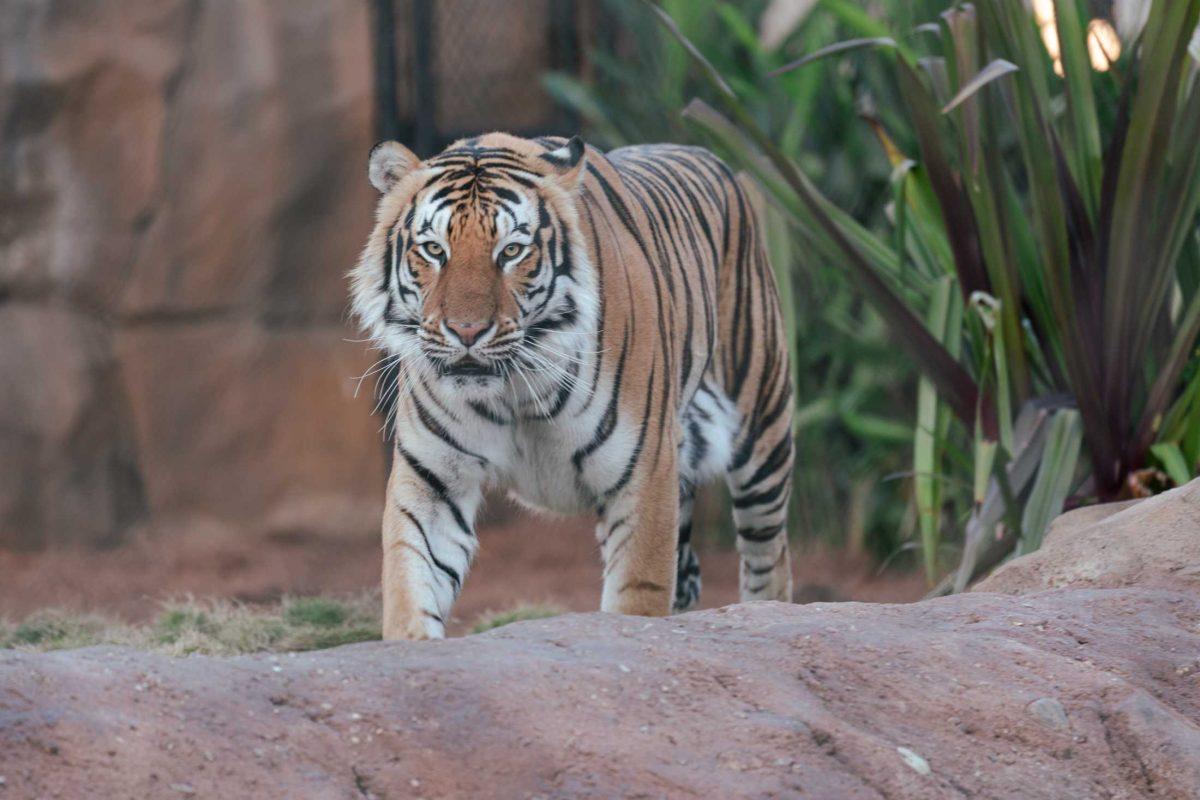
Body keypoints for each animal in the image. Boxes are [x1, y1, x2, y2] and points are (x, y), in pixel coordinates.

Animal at [350, 134, 792, 642]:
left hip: (763, 433)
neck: (515, 388)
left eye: (511, 251)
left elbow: (636, 600)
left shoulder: (644, 477)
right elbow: (411, 581)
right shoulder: (433, 479)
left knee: (769, 557)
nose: (466, 331)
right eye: (433, 249)